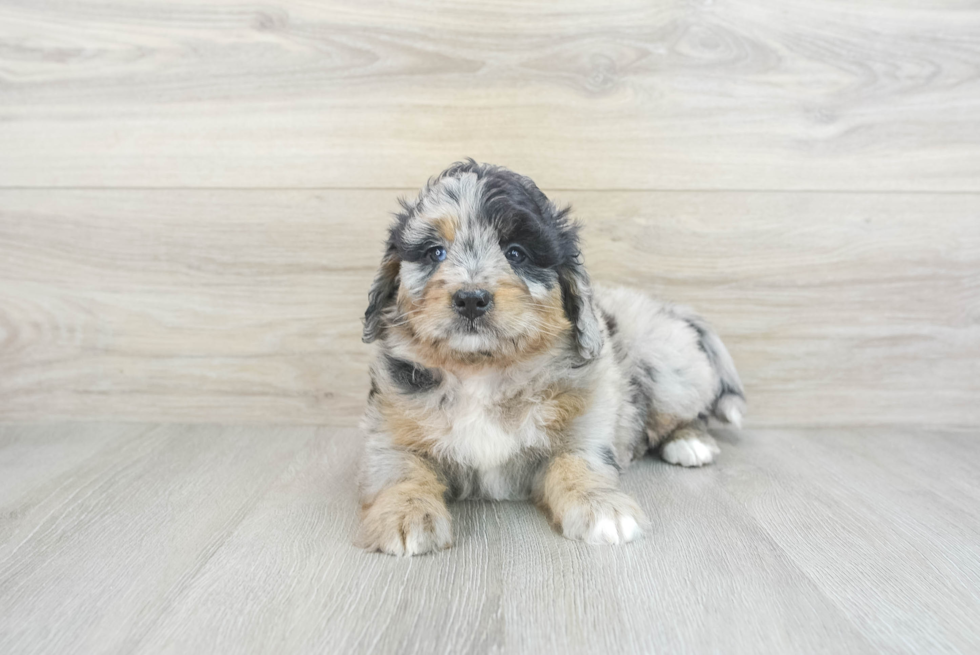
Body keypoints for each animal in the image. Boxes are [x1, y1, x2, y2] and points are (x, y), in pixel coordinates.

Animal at [356, 161, 748, 556]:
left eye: (516, 253)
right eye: (435, 252)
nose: (470, 299)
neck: (483, 369)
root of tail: (670, 308)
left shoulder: (585, 428)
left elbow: (576, 463)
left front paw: (603, 508)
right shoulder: (387, 433)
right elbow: (401, 470)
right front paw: (405, 515)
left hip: (668, 371)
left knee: (691, 412)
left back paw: (691, 443)